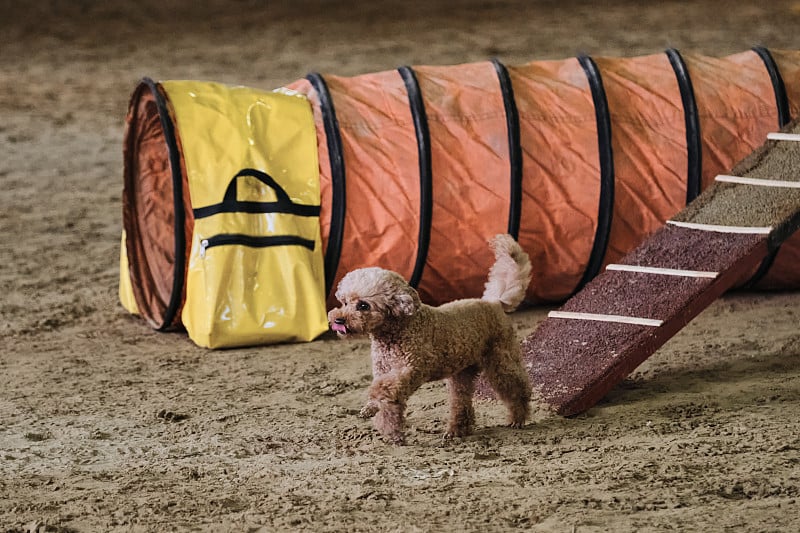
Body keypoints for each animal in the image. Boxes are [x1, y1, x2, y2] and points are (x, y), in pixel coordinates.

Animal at [328, 235, 536, 442]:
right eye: (344, 302)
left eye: (363, 305)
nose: (338, 320)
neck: (397, 330)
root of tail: (494, 302)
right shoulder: (383, 370)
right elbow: (388, 403)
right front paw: (381, 420)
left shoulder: (411, 369)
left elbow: (384, 390)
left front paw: (380, 410)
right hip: (462, 372)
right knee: (461, 401)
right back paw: (456, 430)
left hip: (501, 360)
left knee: (516, 388)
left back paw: (517, 418)